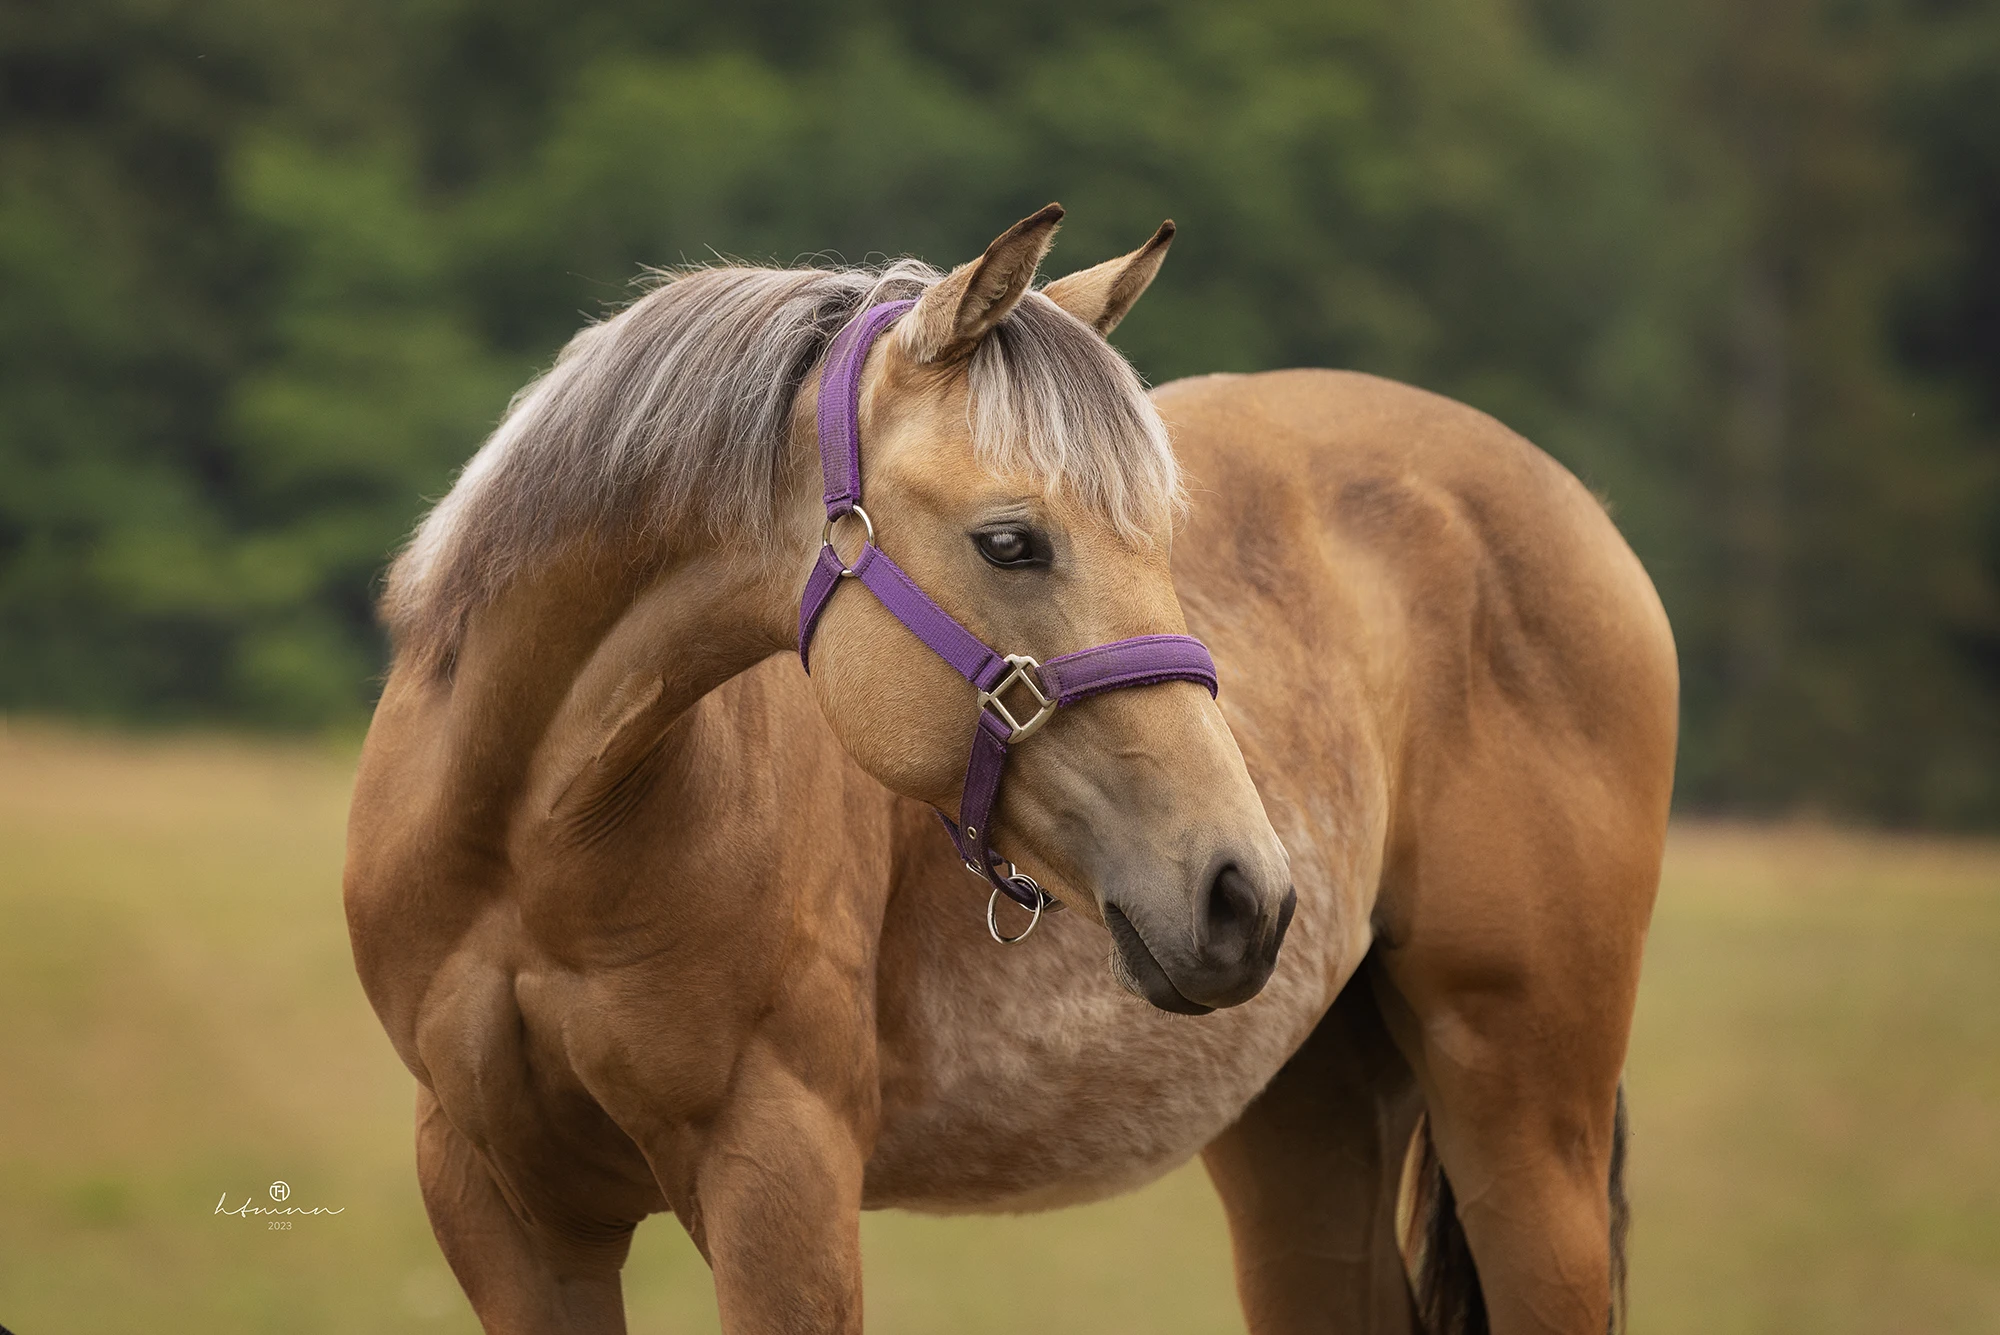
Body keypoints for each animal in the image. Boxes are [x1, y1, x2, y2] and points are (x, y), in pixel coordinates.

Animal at [348, 200, 1688, 1335]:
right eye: (1009, 542)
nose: (1242, 892)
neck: (539, 840)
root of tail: (1573, 505)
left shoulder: (779, 1183)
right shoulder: (503, 1208)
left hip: (1526, 1123)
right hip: (1307, 1121)